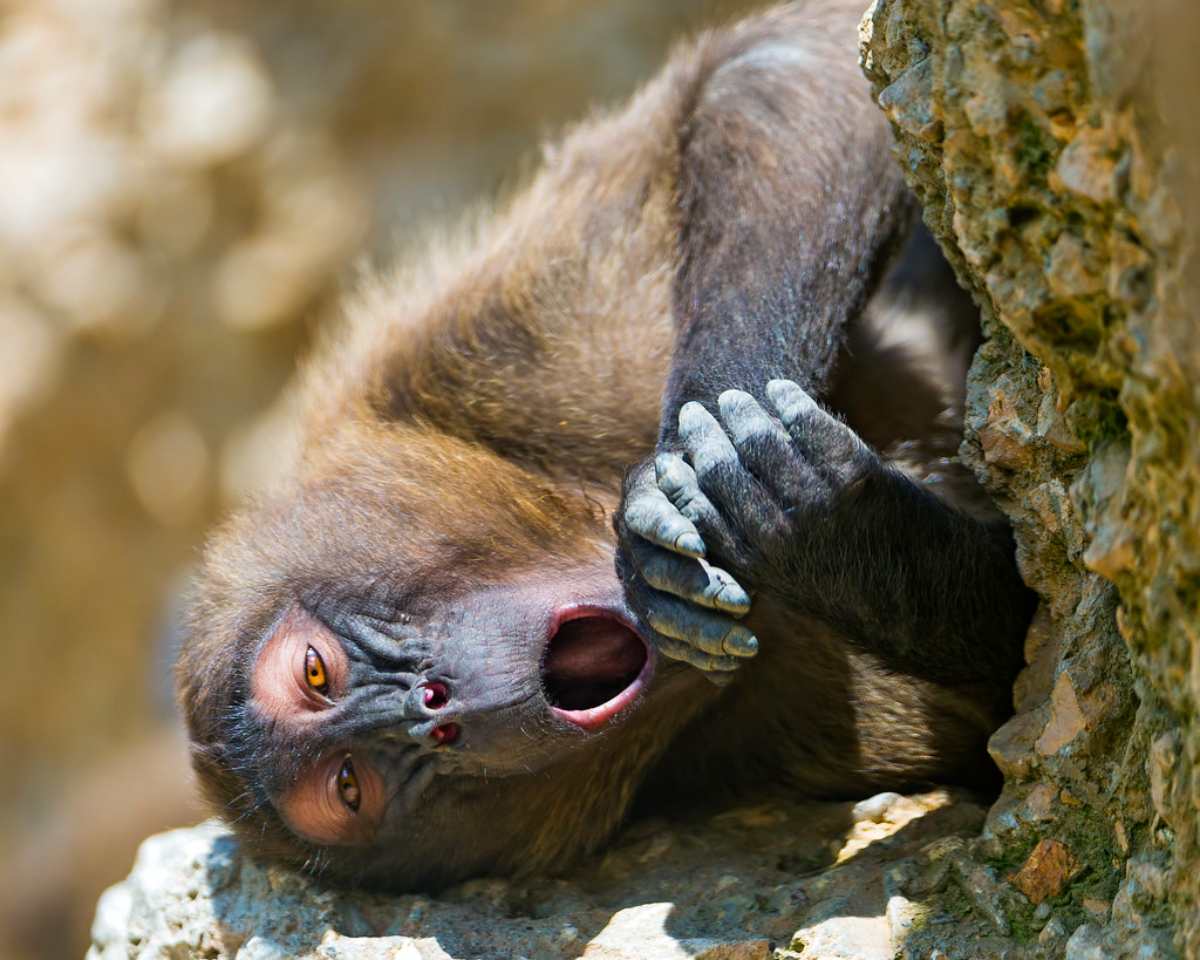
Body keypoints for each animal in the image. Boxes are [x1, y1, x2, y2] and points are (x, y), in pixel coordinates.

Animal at [177, 1, 1035, 892]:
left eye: (315, 672)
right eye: (353, 785)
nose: (436, 708)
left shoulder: (491, 351)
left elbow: (791, 59)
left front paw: (720, 466)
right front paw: (848, 545)